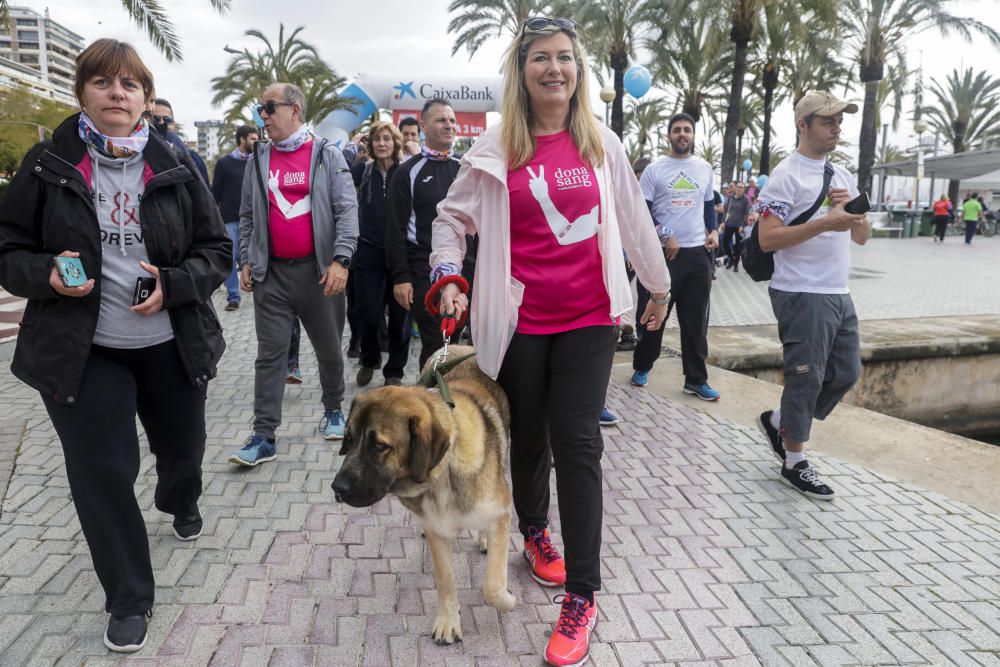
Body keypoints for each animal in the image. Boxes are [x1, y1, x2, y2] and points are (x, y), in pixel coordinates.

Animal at [334, 348, 512, 644]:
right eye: (349, 438)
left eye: (379, 446)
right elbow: (446, 580)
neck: (442, 473)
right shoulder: (438, 533)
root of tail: (461, 348)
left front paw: (507, 600)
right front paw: (448, 621)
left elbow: (492, 585)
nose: (337, 488)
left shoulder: (500, 515)